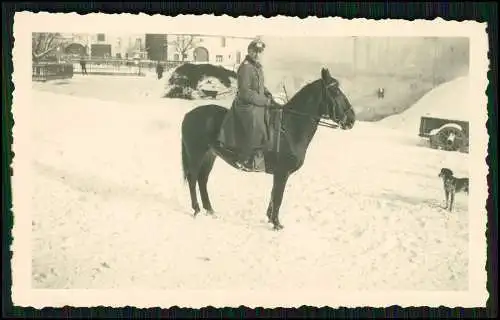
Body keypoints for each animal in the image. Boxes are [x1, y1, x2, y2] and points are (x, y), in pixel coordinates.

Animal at [180, 69, 356, 231]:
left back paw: (210, 210)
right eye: (335, 91)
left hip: (209, 156)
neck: (290, 128)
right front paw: (277, 224)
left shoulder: (279, 174)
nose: (351, 119)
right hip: (196, 155)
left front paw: (271, 219)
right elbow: (278, 197)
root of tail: (188, 115)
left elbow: (273, 195)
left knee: (202, 180)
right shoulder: (282, 173)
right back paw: (196, 209)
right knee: (193, 179)